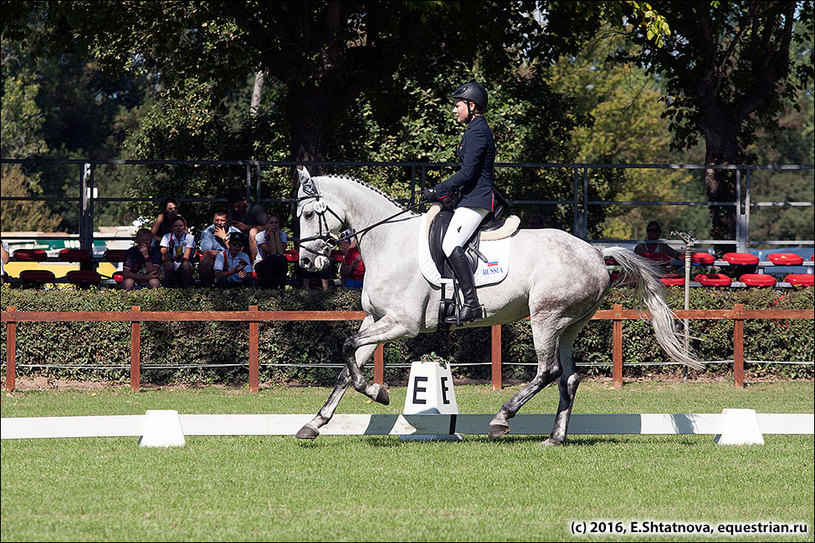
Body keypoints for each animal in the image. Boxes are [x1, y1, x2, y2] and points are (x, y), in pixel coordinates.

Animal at [294, 170, 700, 446]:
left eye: (310, 214)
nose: (307, 263)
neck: (388, 241)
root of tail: (596, 253)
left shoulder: (402, 323)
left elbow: (347, 348)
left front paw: (377, 391)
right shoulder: (376, 319)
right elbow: (346, 367)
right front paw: (314, 423)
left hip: (545, 317)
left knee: (548, 371)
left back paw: (502, 418)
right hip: (569, 324)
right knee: (568, 378)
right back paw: (555, 437)